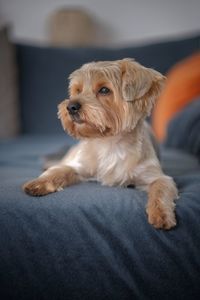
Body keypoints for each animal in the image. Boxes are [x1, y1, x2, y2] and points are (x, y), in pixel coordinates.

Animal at [23, 58, 178, 230]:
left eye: (104, 90)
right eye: (78, 90)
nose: (70, 107)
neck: (109, 143)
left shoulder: (155, 175)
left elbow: (161, 188)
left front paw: (161, 214)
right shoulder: (79, 166)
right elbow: (59, 171)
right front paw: (38, 183)